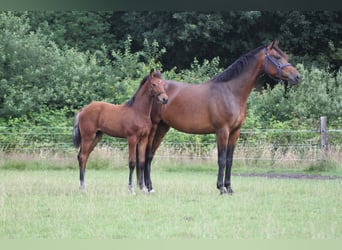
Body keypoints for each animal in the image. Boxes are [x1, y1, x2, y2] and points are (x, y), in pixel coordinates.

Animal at [143, 40, 300, 194]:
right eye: (277, 57)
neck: (230, 92)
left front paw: (229, 188)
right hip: (154, 128)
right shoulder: (222, 131)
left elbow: (230, 160)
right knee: (146, 154)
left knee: (150, 155)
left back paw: (149, 187)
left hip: (163, 127)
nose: (297, 76)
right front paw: (221, 188)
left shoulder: (235, 132)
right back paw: (147, 187)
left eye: (285, 56)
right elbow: (222, 160)